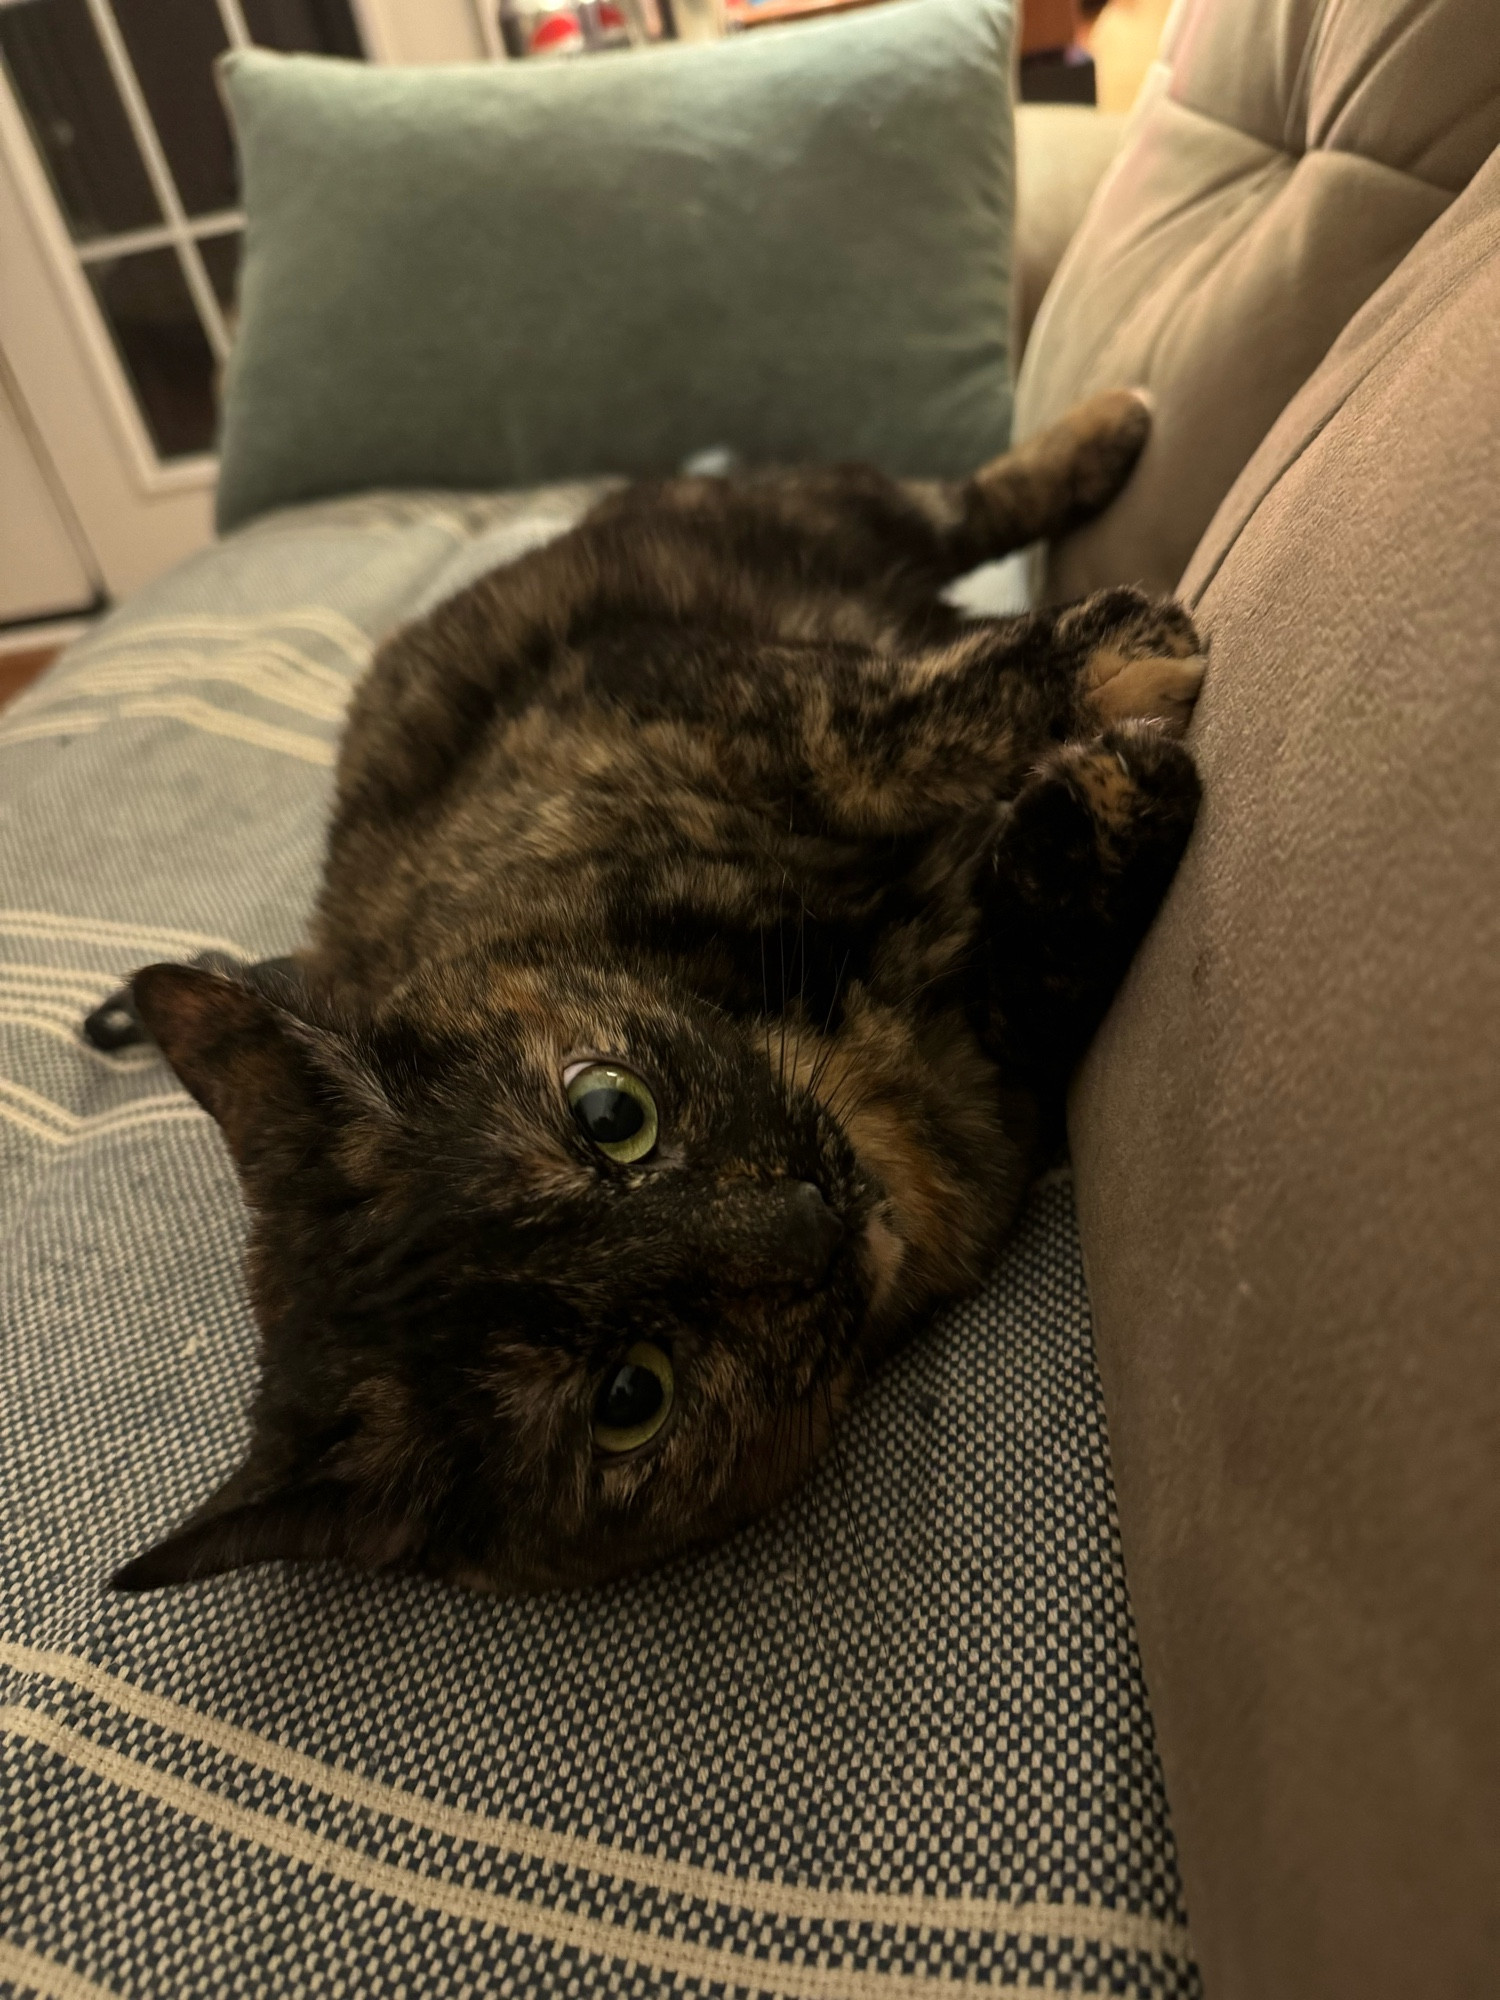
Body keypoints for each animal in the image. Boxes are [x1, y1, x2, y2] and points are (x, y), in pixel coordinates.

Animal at [100, 398, 1208, 1600]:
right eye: (631, 1396)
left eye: (610, 1111)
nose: (808, 1216)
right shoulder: (994, 1092)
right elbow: (1037, 973)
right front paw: (1109, 793)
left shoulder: (652, 687)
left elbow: (851, 732)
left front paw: (1125, 657)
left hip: (776, 521)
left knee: (948, 506)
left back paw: (1107, 433)